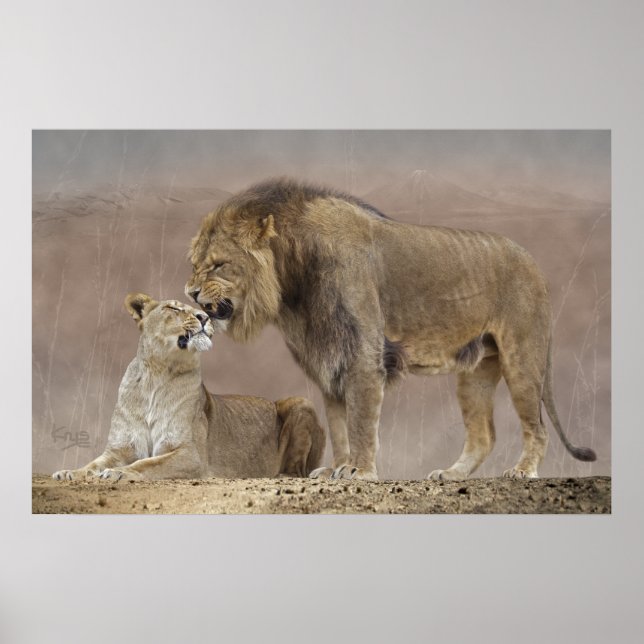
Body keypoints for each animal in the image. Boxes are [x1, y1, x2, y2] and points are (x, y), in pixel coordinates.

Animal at [52, 293, 325, 482]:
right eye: (174, 308)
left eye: (200, 310)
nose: (204, 317)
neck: (157, 374)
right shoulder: (119, 448)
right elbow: (93, 464)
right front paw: (70, 472)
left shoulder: (190, 454)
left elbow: (147, 464)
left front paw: (120, 473)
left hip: (301, 402)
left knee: (299, 471)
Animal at [185, 178, 596, 482]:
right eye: (193, 264)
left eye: (219, 264)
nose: (190, 292)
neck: (292, 288)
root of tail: (535, 263)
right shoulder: (328, 359)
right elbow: (339, 424)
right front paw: (336, 468)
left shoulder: (362, 356)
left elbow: (361, 420)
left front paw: (360, 472)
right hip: (476, 370)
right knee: (483, 435)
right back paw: (451, 474)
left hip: (521, 357)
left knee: (537, 427)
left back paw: (522, 472)